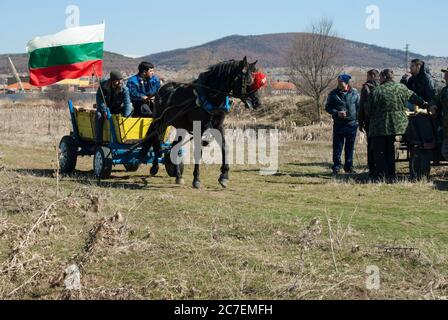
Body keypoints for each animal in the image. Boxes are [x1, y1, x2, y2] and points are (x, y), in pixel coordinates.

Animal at [140, 56, 262, 189]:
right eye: (248, 81)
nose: (258, 103)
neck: (211, 96)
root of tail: (160, 90)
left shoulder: (218, 126)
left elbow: (225, 147)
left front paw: (224, 176)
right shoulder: (200, 128)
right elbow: (199, 151)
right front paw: (196, 179)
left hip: (181, 127)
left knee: (174, 146)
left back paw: (178, 175)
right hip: (161, 122)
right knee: (156, 141)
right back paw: (154, 167)